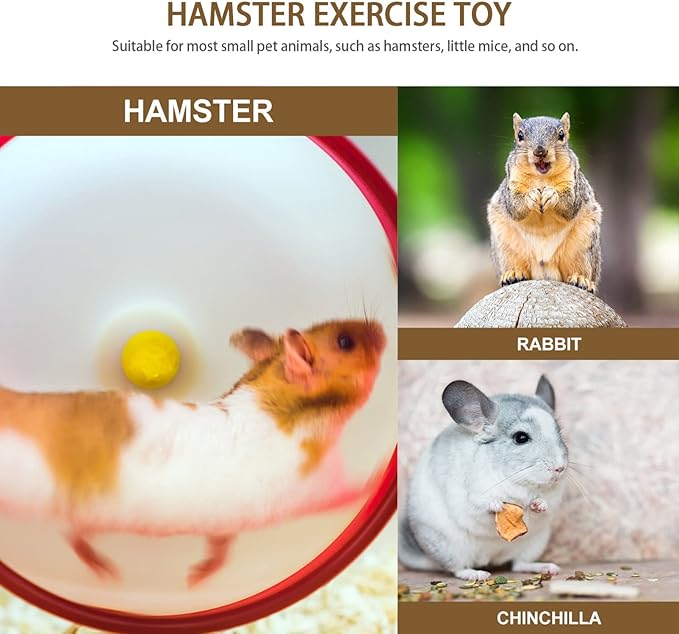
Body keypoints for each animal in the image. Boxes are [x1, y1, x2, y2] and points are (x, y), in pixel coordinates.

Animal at [0, 318, 386, 586]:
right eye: (345, 341)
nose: (382, 328)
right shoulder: (320, 486)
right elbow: (350, 491)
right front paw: (380, 473)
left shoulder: (225, 526)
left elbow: (220, 551)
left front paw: (194, 579)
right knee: (73, 538)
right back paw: (109, 573)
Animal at [399, 375, 567, 581]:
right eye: (521, 437)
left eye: (559, 433)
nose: (560, 468)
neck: (517, 482)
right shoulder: (471, 495)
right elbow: (480, 505)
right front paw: (497, 505)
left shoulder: (554, 496)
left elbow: (546, 504)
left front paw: (539, 504)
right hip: (449, 547)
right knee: (457, 569)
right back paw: (477, 574)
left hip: (534, 544)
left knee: (518, 564)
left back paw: (547, 568)